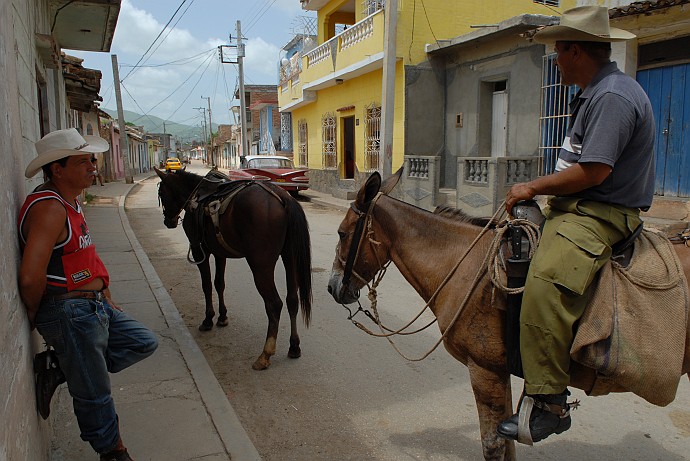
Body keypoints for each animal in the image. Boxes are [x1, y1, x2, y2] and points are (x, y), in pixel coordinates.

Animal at [155, 169, 310, 370]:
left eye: (161, 193)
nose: (168, 221)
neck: (196, 195)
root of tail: (283, 198)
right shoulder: (220, 253)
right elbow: (219, 284)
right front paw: (222, 317)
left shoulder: (199, 251)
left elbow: (207, 285)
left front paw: (208, 319)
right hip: (290, 258)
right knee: (292, 300)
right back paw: (294, 346)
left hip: (261, 265)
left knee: (274, 304)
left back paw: (265, 354)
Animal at [326, 171, 688, 458]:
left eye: (343, 233)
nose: (332, 287)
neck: (465, 267)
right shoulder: (501, 370)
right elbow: (508, 442)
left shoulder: (483, 369)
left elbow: (493, 444)